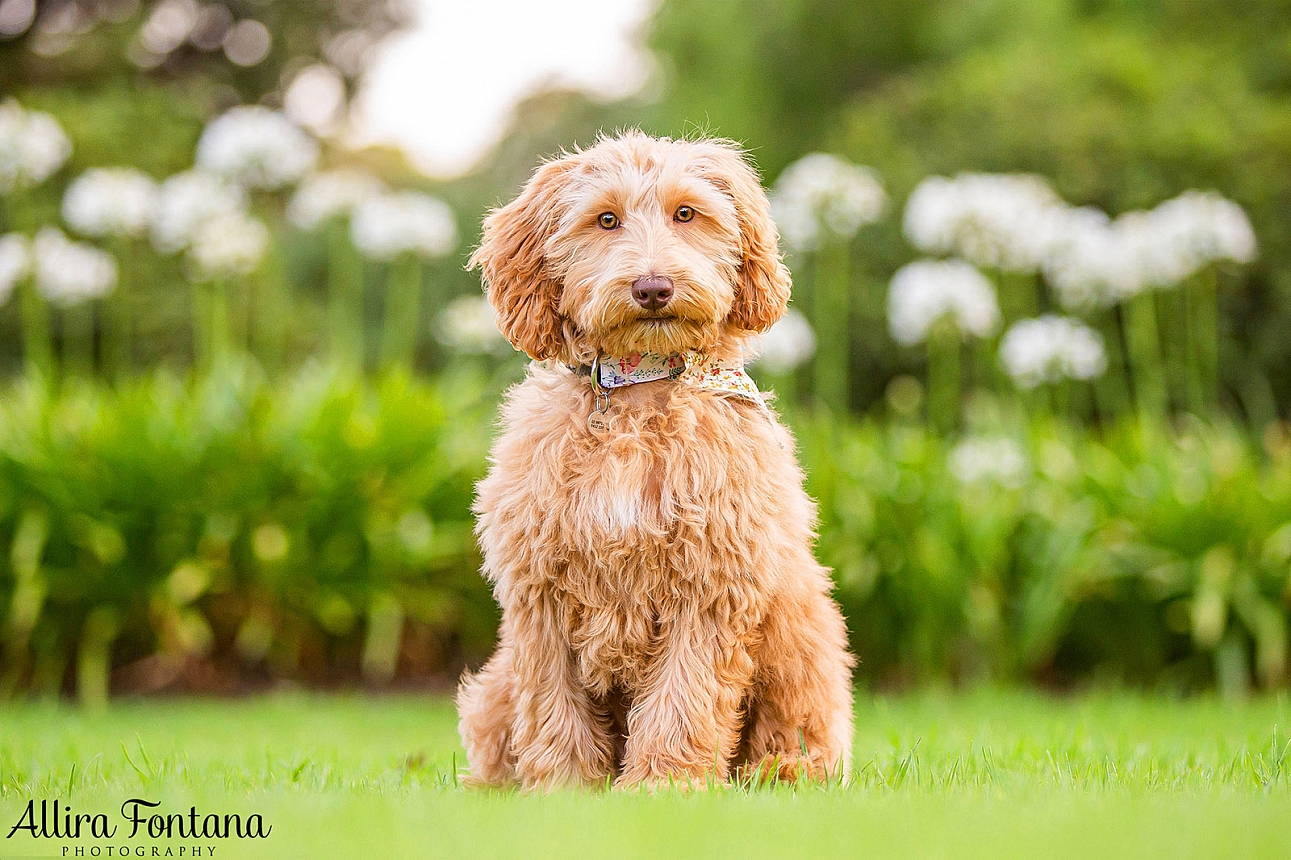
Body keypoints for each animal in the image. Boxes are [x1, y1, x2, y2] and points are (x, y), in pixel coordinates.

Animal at [459, 130, 852, 785]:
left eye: (685, 213)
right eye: (606, 219)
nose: (653, 289)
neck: (636, 388)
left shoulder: (710, 581)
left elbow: (683, 696)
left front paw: (663, 785)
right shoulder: (541, 593)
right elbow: (552, 705)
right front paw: (564, 788)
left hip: (804, 648)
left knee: (799, 735)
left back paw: (782, 773)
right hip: (495, 685)